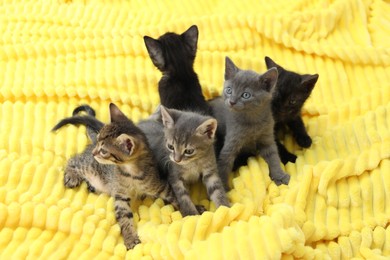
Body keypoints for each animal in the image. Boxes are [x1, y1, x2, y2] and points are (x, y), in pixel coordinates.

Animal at [51, 103, 178, 250]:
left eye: (103, 151)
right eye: (99, 140)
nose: (94, 152)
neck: (131, 174)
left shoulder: (161, 186)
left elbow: (174, 197)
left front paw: (188, 211)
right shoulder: (120, 196)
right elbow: (124, 218)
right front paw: (130, 238)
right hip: (89, 166)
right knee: (73, 160)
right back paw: (72, 176)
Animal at [210, 57, 290, 189]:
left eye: (246, 95)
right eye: (229, 90)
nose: (231, 102)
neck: (253, 122)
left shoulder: (267, 138)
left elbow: (273, 156)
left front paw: (280, 175)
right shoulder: (231, 142)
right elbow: (224, 164)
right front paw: (224, 188)